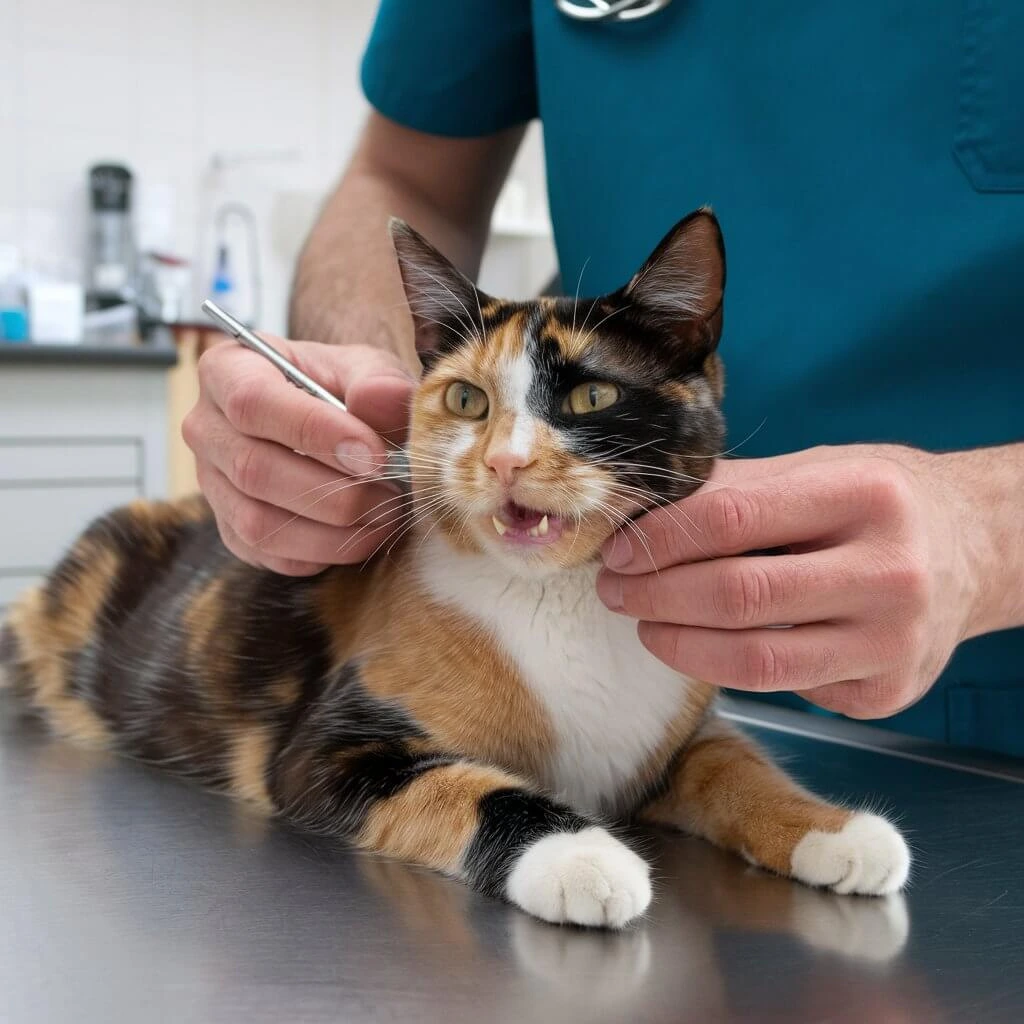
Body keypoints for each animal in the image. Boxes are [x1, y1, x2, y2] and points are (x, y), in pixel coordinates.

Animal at [2, 207, 913, 929]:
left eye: (591, 397)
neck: (564, 603)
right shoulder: (326, 751)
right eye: (468, 400)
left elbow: (738, 763)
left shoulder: (679, 727)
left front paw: (838, 833)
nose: (506, 461)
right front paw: (581, 856)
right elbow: (468, 788)